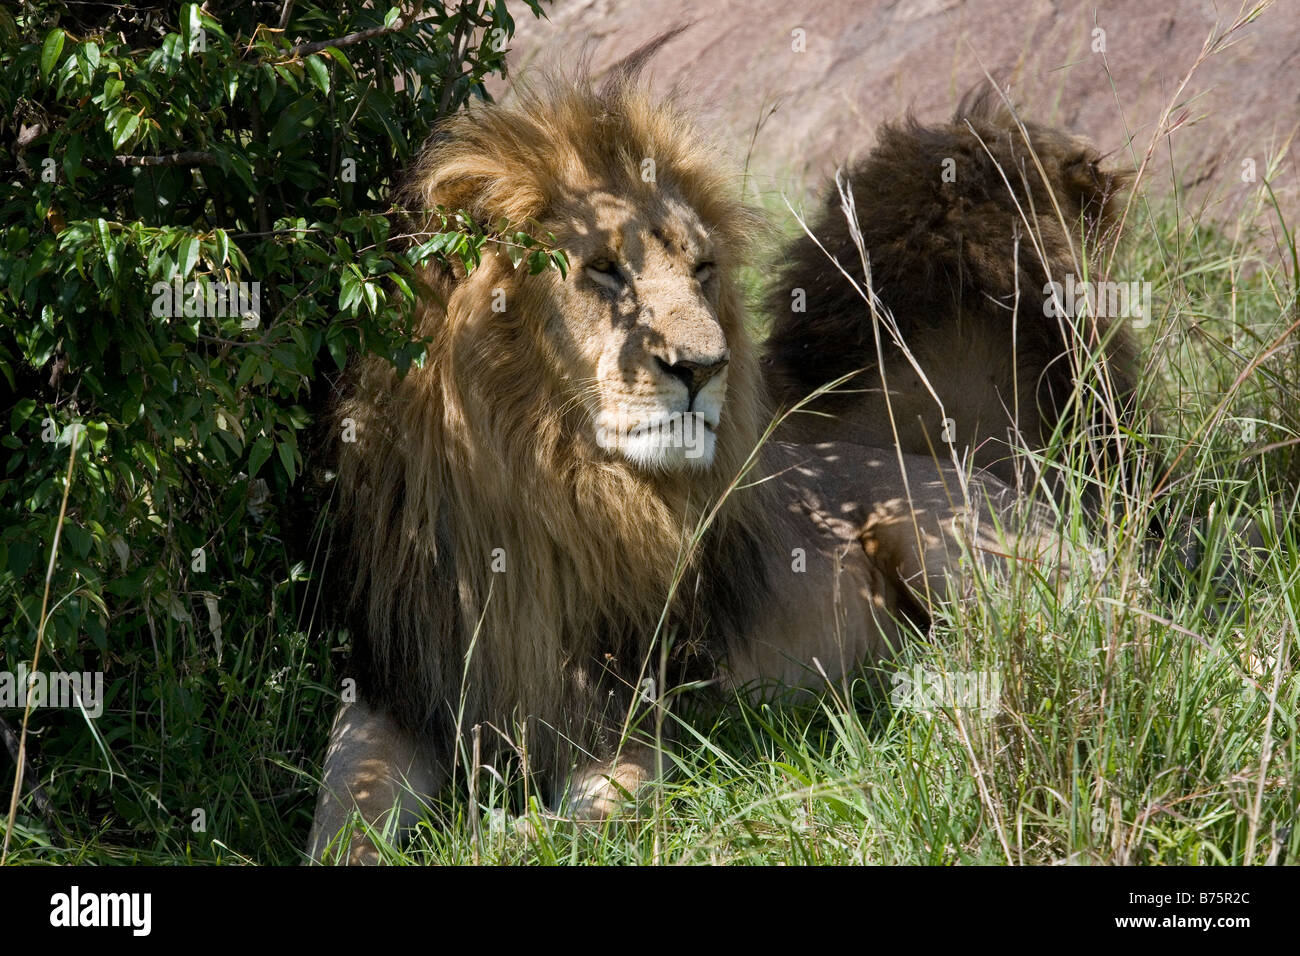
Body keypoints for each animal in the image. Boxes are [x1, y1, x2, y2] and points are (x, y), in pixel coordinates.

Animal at [306, 70, 1055, 863]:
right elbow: (344, 814)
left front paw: (490, 839)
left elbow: (568, 823)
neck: (548, 487)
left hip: (940, 536)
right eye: (604, 271)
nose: (704, 366)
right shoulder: (394, 692)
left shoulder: (639, 717)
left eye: (702, 271)